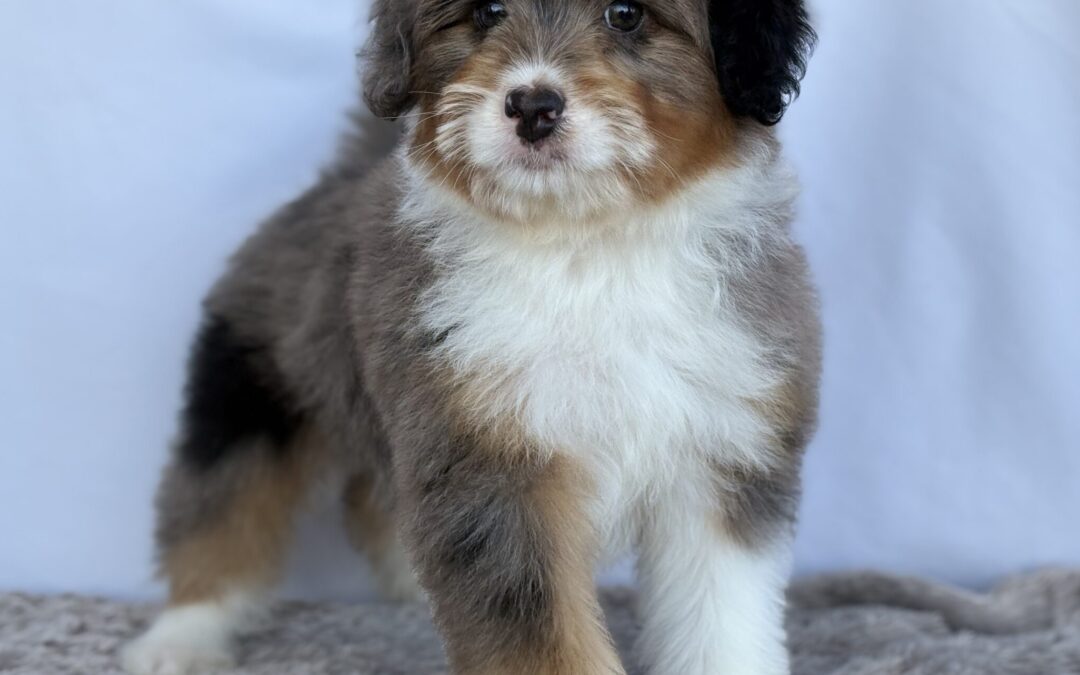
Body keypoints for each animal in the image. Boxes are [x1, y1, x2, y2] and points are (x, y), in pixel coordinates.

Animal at [122, 1, 816, 673]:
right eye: (487, 13)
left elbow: (720, 620)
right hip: (250, 398)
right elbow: (539, 640)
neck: (585, 249)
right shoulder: (493, 471)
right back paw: (182, 636)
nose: (532, 106)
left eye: (626, 15)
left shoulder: (723, 453)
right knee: (222, 508)